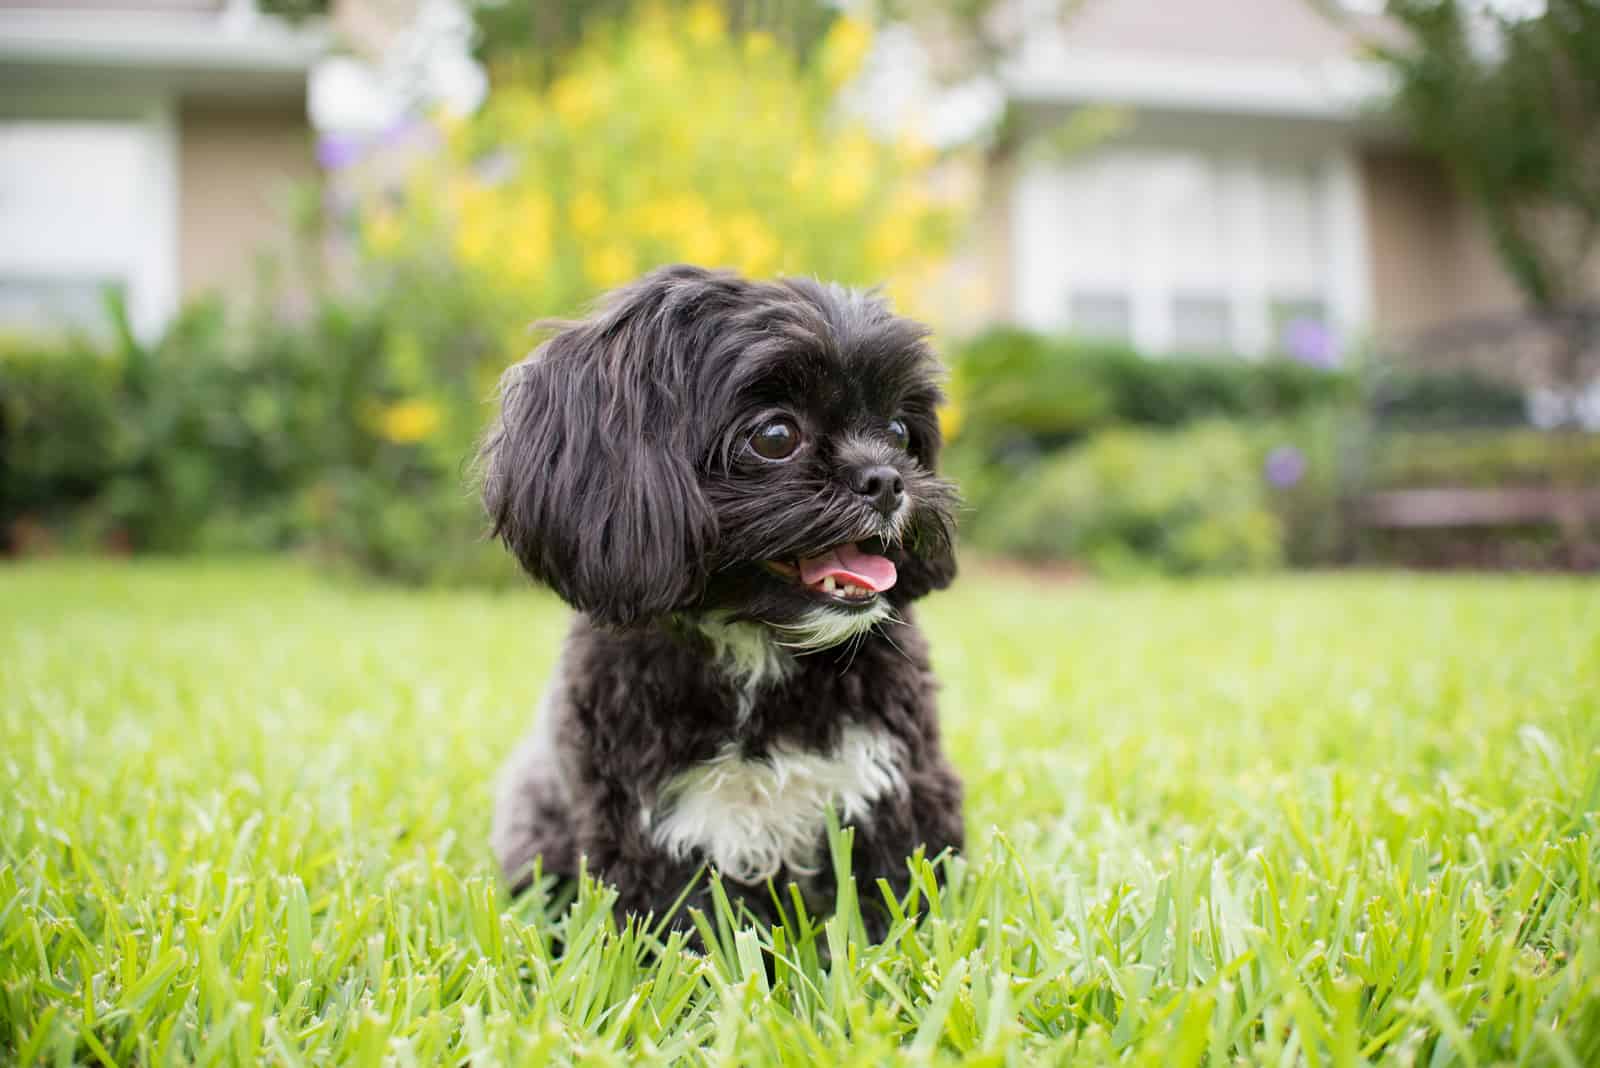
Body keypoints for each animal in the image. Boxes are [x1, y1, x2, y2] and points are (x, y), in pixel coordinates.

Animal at [480, 260, 960, 933]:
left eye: (898, 430)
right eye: (776, 434)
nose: (888, 480)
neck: (758, 642)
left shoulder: (896, 794)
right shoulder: (653, 832)